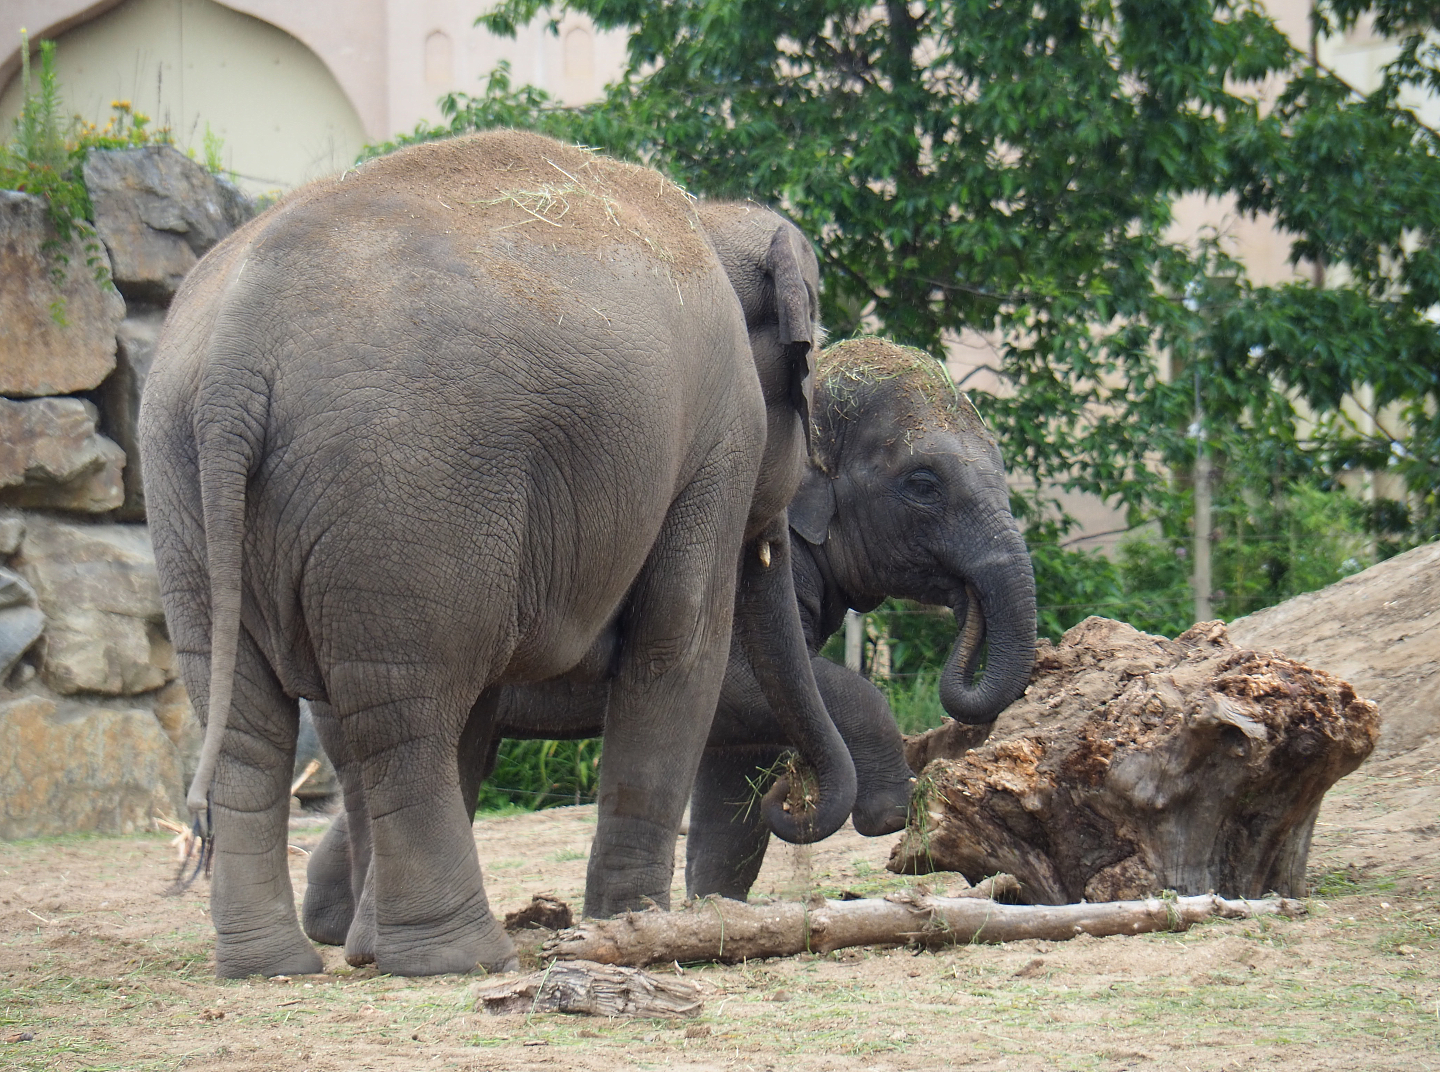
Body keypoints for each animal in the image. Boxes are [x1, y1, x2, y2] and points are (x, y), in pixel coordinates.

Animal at [139, 131, 855, 979]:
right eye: (805, 386)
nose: (790, 799)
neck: (712, 219)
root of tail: (234, 363)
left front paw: (367, 948)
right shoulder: (718, 441)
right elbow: (679, 644)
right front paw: (638, 923)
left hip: (191, 490)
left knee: (255, 720)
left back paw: (277, 964)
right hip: (406, 486)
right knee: (406, 709)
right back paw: (462, 956)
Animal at [300, 335, 1037, 937]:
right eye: (923, 484)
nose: (963, 604)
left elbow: (742, 752)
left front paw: (717, 908)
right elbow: (747, 686)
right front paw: (887, 811)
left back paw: (333, 927)